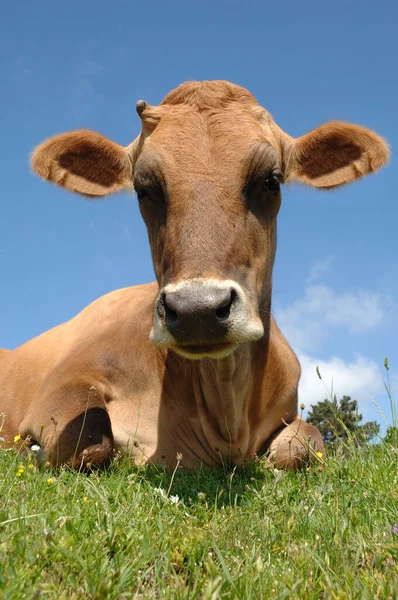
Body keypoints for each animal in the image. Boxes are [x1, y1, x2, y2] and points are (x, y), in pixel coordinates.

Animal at [0, 82, 388, 472]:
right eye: (144, 189)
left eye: (270, 180)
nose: (196, 310)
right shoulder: (64, 383)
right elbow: (89, 437)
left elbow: (307, 441)